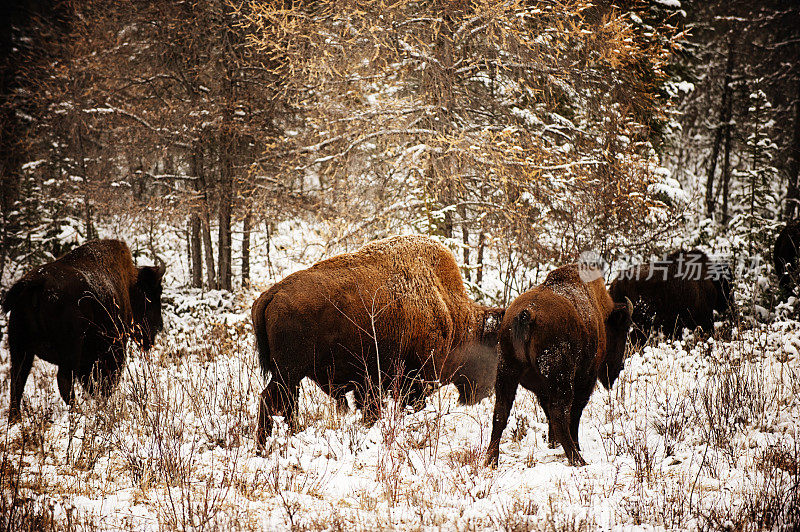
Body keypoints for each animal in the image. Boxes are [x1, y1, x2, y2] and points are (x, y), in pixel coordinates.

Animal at [1, 239, 164, 422]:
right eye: (152, 294)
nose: (159, 326)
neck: (129, 285)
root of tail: (36, 283)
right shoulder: (114, 348)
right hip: (70, 349)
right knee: (63, 380)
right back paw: (79, 413)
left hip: (20, 347)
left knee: (17, 380)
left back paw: (15, 420)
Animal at [253, 235, 504, 446]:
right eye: (494, 350)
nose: (486, 391)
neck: (447, 307)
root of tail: (271, 294)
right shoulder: (413, 380)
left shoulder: (370, 383)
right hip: (288, 373)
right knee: (270, 401)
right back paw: (264, 446)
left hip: (292, 376)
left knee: (286, 405)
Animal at [484, 264, 636, 466]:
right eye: (623, 329)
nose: (618, 368)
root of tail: (527, 314)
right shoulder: (586, 378)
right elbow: (575, 412)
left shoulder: (542, 389)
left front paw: (552, 444)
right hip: (560, 377)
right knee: (560, 415)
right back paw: (578, 459)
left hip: (507, 369)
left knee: (500, 412)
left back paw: (491, 460)